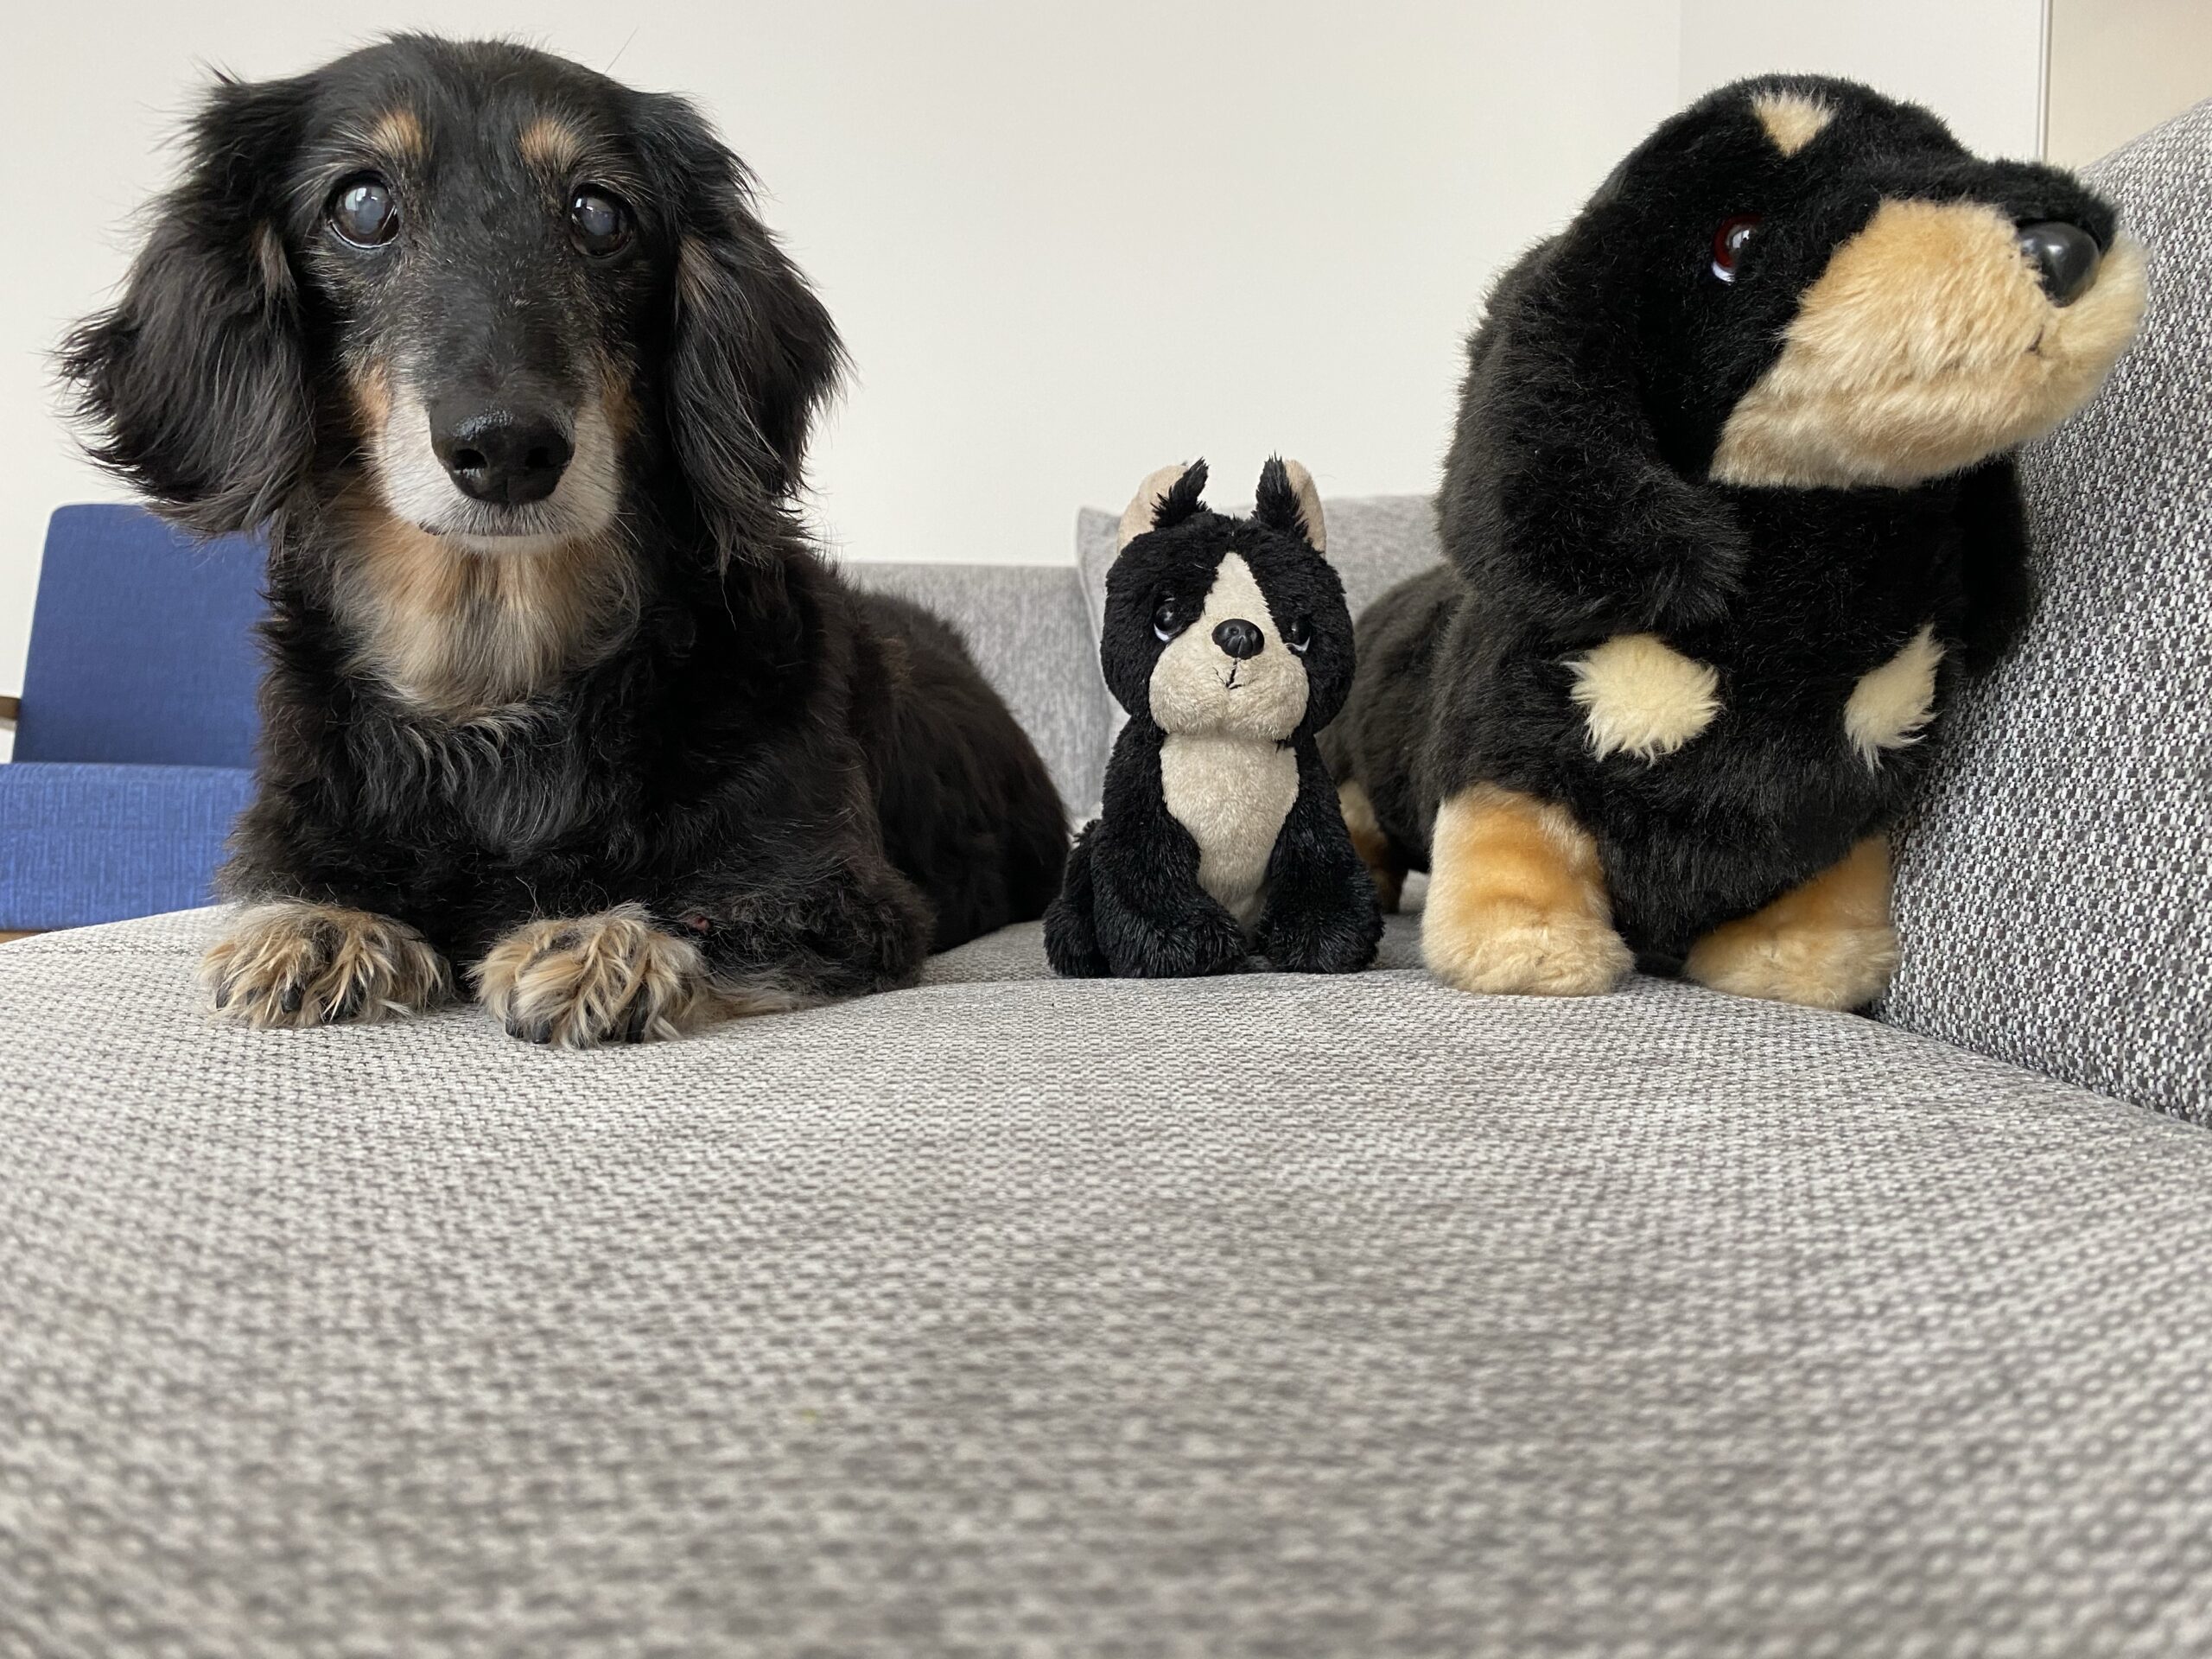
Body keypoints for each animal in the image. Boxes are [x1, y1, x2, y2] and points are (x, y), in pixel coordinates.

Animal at [63, 34, 1068, 1046]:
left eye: (598, 214)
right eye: (361, 205)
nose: (509, 448)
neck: (495, 688)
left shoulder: (846, 900)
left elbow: (725, 913)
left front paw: (604, 941)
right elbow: (299, 887)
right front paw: (319, 926)